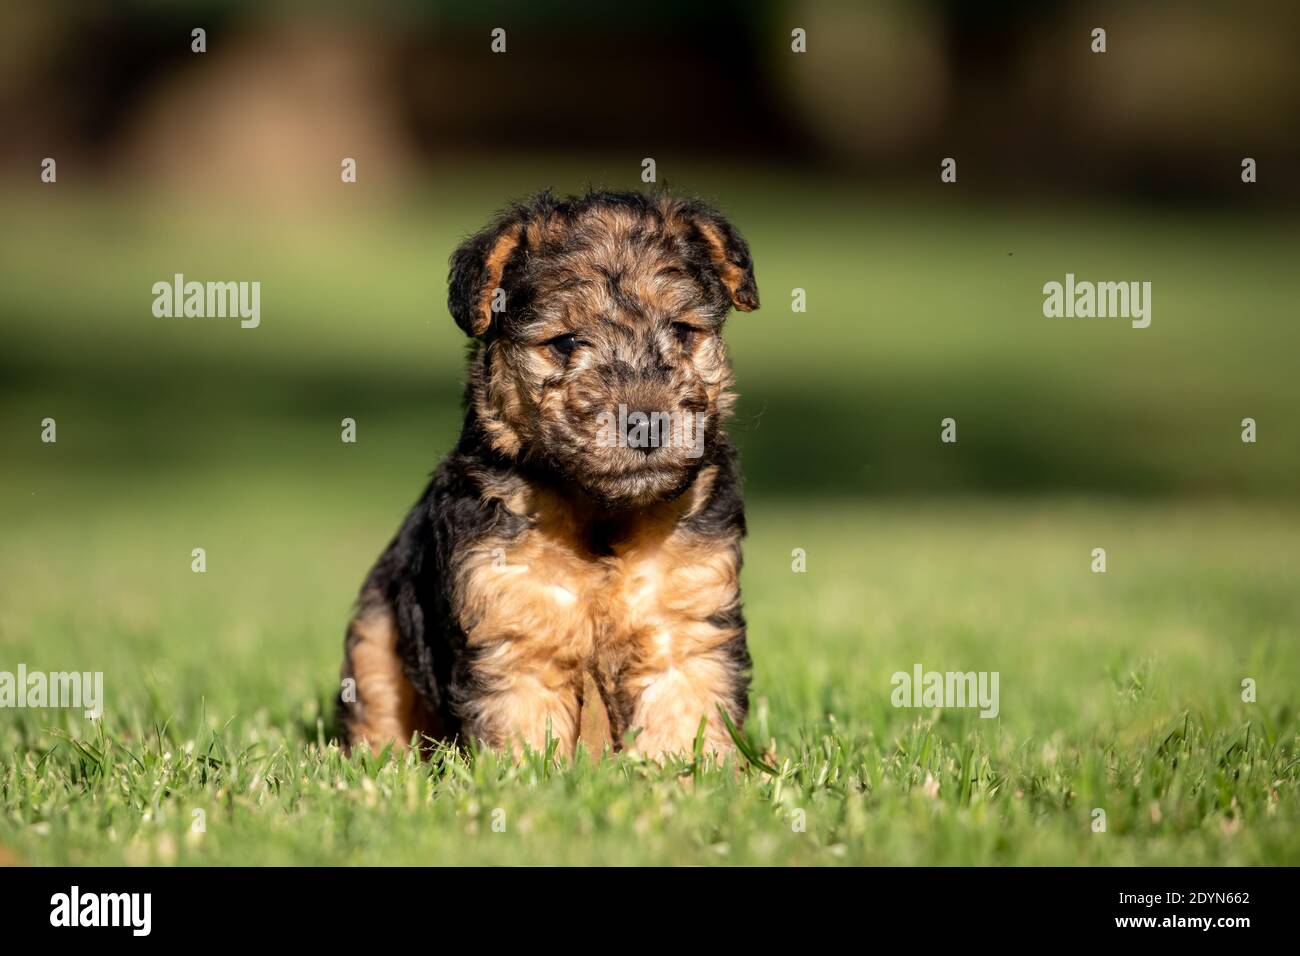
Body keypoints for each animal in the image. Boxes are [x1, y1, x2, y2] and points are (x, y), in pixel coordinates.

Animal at [340, 191, 759, 759]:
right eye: (564, 342)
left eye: (681, 330)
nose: (647, 422)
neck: (601, 513)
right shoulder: (512, 630)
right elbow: (523, 729)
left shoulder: (688, 622)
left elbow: (685, 713)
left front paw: (687, 772)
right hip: (375, 638)